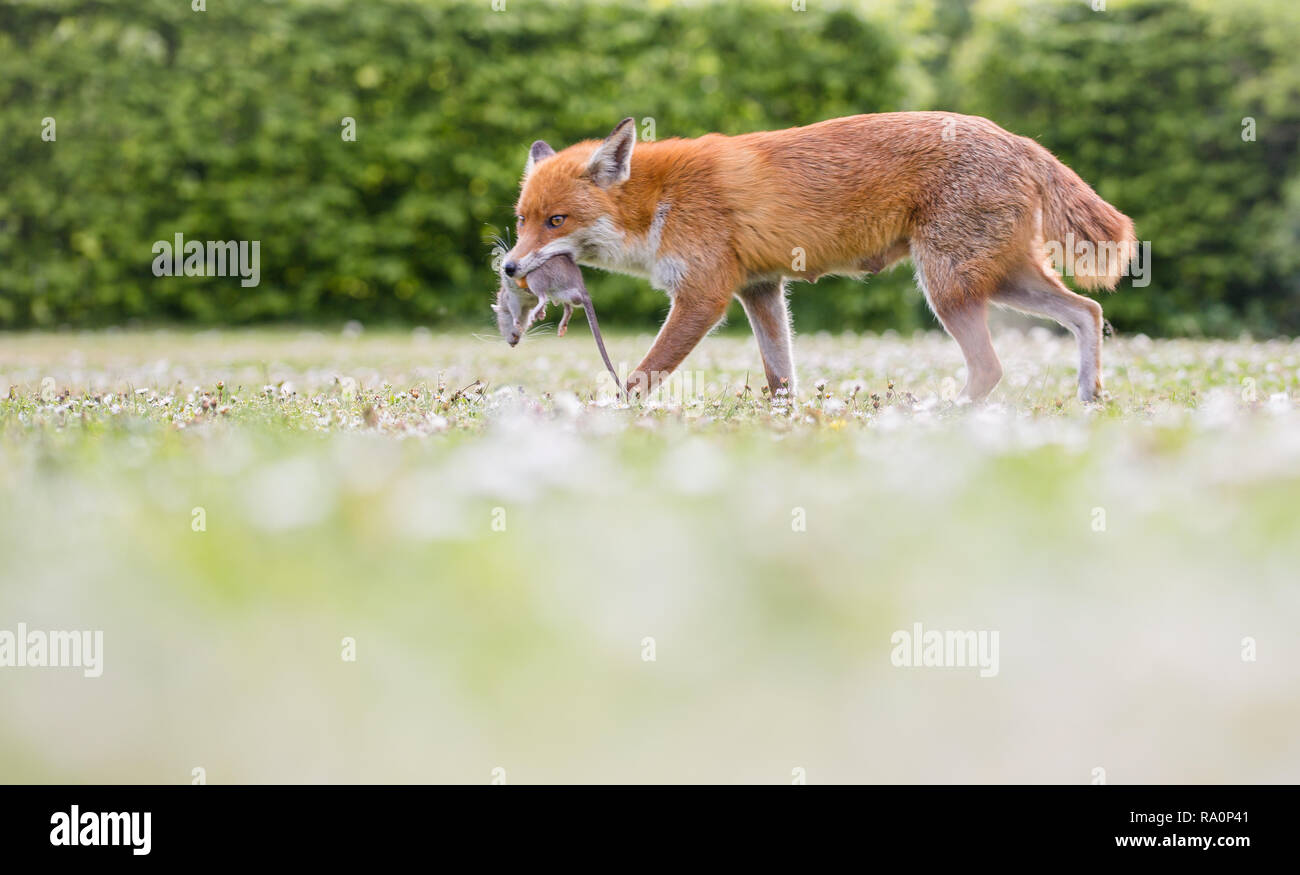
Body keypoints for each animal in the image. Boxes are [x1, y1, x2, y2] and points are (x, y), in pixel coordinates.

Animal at [502, 112, 1136, 402]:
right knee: (1088, 313)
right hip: (1002, 280)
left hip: (948, 288)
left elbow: (641, 376)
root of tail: (1017, 138)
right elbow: (780, 377)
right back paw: (1088, 400)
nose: (508, 268)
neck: (660, 201)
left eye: (556, 222)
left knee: (991, 368)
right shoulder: (759, 290)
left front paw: (605, 419)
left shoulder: (704, 296)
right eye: (521, 220)